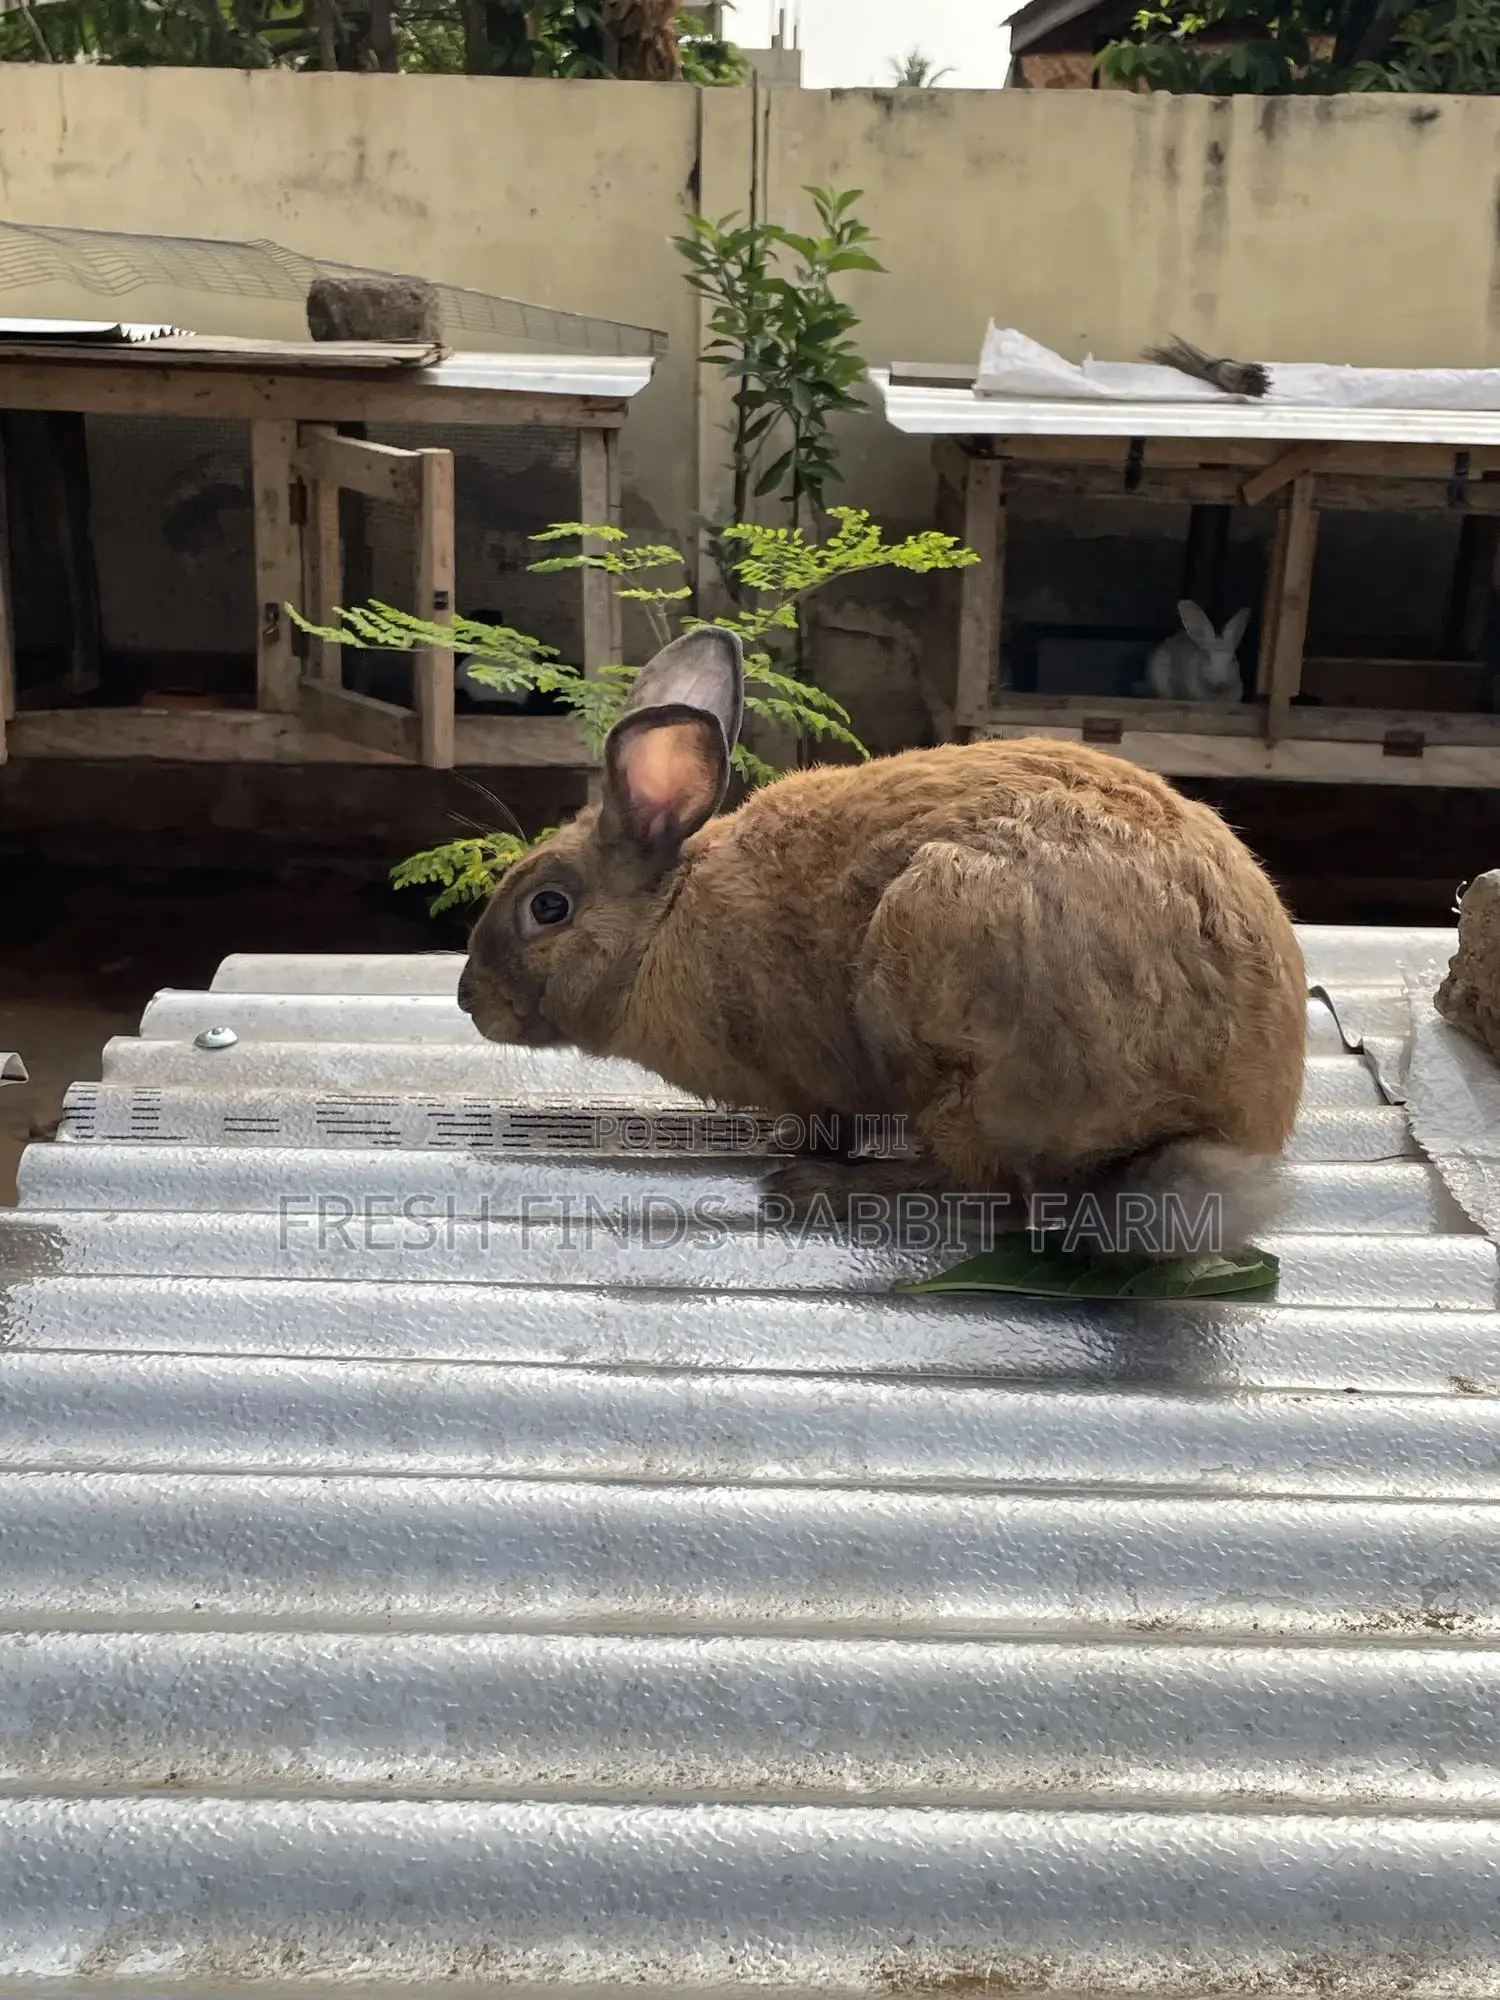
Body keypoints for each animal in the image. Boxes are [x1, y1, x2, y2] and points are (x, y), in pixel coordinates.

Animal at [457, 626, 1307, 1258]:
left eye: (548, 908)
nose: (469, 1002)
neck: (665, 921)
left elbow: (825, 1122)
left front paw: (793, 1152)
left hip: (954, 1031)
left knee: (994, 1189)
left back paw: (821, 1189)